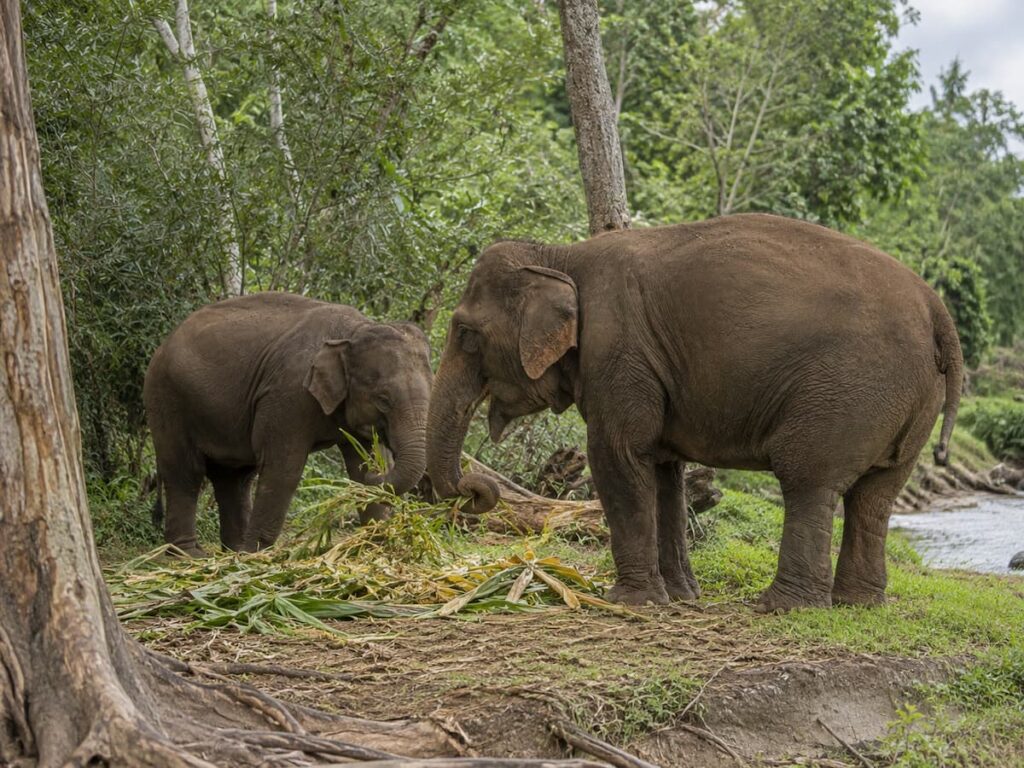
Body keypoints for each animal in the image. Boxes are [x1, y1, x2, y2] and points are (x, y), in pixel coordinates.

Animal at [144, 292, 432, 555]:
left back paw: (232, 552)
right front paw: (255, 555)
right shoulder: (288, 394)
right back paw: (190, 555)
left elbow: (360, 463)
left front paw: (376, 544)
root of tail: (163, 344)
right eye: (383, 400)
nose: (378, 475)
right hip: (167, 398)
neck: (353, 331)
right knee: (186, 472)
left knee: (234, 478)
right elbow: (283, 468)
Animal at [426, 213, 963, 611]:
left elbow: (617, 455)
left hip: (848, 390)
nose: (476, 489)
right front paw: (681, 596)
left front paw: (629, 602)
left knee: (808, 479)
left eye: (466, 335)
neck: (561, 255)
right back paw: (858, 604)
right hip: (909, 400)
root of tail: (938, 312)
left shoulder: (619, 352)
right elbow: (664, 469)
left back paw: (782, 607)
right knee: (877, 495)